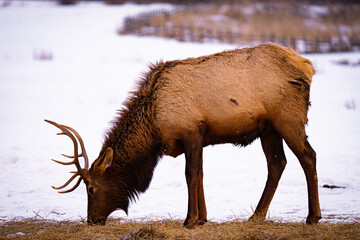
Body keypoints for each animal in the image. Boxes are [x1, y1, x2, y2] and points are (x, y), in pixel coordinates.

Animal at [45, 43, 320, 229]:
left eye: (91, 188)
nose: (92, 220)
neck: (154, 128)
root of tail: (307, 67)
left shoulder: (190, 132)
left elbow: (191, 175)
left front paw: (189, 220)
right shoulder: (200, 137)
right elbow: (200, 176)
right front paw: (203, 218)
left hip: (287, 118)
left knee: (308, 156)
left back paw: (312, 216)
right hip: (268, 128)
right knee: (277, 164)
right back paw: (256, 215)